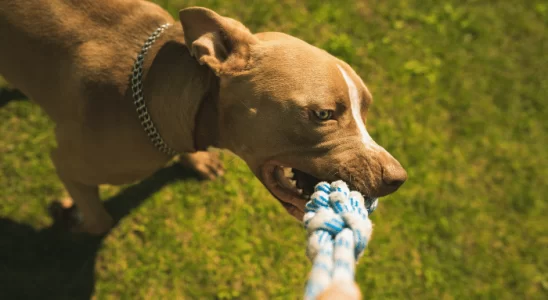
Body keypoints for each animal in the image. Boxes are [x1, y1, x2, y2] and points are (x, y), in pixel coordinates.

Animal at [0, 1, 404, 237]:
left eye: (365, 109)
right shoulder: (66, 160)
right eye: (323, 114)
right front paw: (74, 218)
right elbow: (101, 221)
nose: (398, 178)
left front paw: (196, 161)